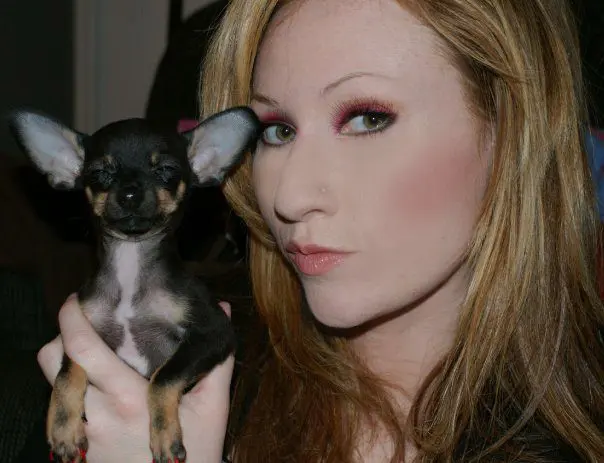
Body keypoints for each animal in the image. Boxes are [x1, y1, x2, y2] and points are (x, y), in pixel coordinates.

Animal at [7, 106, 260, 463]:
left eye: (166, 170)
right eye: (99, 173)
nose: (129, 193)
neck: (130, 262)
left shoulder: (214, 332)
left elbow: (162, 377)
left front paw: (165, 435)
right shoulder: (83, 330)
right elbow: (67, 373)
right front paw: (63, 427)